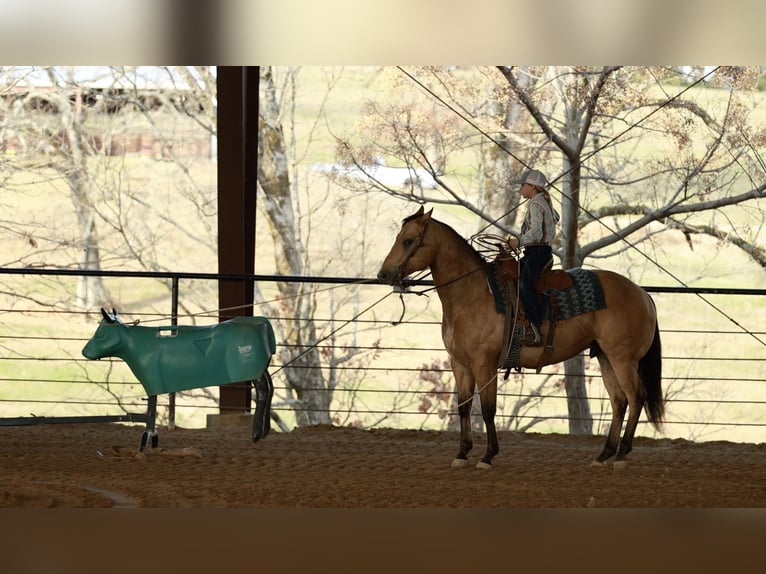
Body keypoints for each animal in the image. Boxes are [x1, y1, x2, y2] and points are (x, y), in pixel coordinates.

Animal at [377, 205, 664, 468]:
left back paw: (622, 454)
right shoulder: (460, 364)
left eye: (408, 240)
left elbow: (488, 409)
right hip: (606, 357)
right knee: (619, 401)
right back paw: (604, 454)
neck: (471, 294)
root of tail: (642, 293)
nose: (383, 274)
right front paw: (462, 453)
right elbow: (464, 407)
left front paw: (488, 456)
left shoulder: (484, 364)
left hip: (623, 359)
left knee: (636, 398)